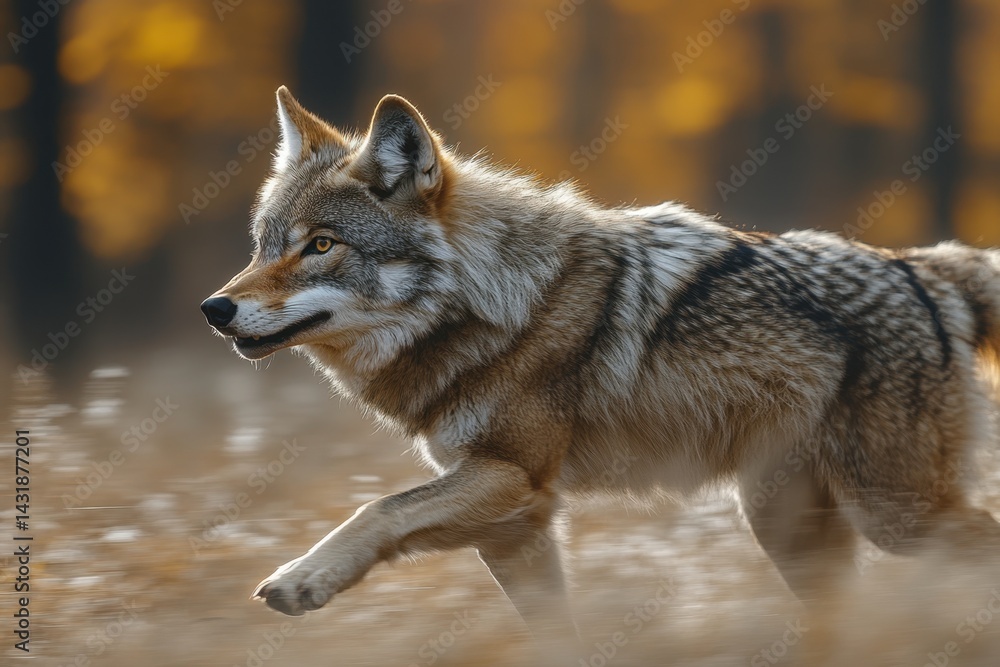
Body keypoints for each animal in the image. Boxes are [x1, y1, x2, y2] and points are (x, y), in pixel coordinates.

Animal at [201, 87, 1000, 636]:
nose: (214, 308)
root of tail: (925, 269)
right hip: (792, 526)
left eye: (321, 245)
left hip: (894, 515)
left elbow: (376, 508)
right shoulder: (515, 525)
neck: (495, 300)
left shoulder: (515, 480)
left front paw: (303, 579)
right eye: (264, 245)